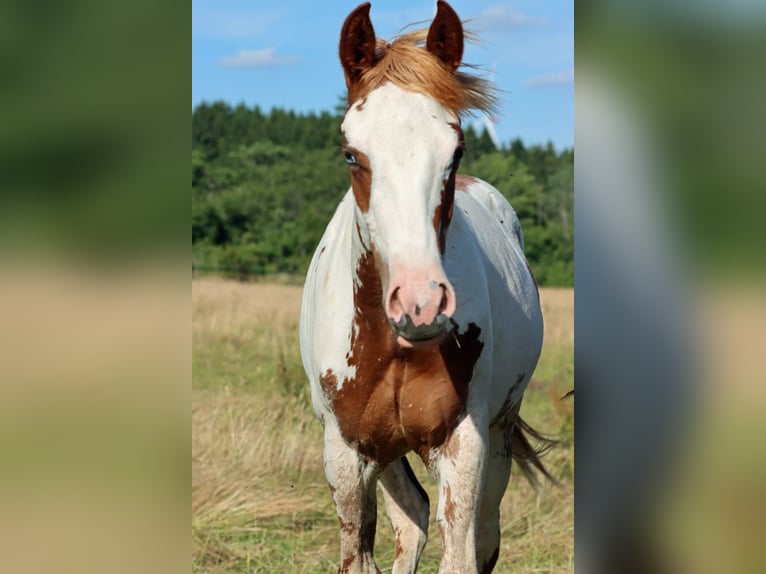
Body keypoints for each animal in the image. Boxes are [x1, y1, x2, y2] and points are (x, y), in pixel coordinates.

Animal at [300, 2, 550, 572]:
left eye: (455, 151)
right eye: (351, 153)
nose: (420, 305)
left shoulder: (463, 446)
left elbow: (461, 551)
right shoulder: (346, 456)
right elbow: (361, 552)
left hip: (497, 437)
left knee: (480, 534)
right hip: (387, 452)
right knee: (410, 519)